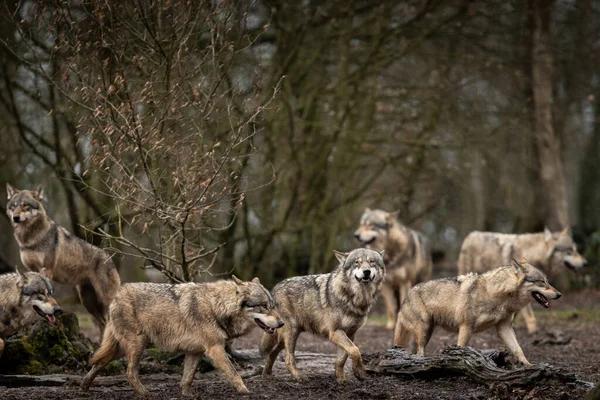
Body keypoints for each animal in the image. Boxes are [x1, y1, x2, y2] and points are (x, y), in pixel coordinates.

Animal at [6, 184, 122, 338]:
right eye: (13, 206)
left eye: (25, 206)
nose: (15, 217)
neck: (30, 239)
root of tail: (110, 258)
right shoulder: (31, 269)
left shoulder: (47, 268)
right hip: (87, 302)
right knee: (102, 323)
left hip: (105, 299)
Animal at [80, 276, 284, 396]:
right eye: (263, 306)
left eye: (273, 305)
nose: (282, 323)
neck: (216, 307)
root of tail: (115, 296)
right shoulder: (215, 349)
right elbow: (234, 373)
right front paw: (245, 391)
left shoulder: (195, 352)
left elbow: (188, 378)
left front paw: (188, 395)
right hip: (137, 345)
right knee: (129, 373)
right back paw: (145, 394)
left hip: (122, 349)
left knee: (97, 363)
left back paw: (84, 388)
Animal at [262, 248, 384, 382]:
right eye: (357, 262)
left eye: (372, 262)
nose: (366, 271)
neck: (355, 299)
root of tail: (274, 289)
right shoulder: (335, 332)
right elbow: (355, 350)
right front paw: (359, 372)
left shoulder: (349, 333)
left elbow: (342, 359)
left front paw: (341, 380)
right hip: (291, 332)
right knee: (288, 359)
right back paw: (299, 377)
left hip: (289, 335)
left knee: (272, 353)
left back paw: (267, 375)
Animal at [394, 260, 564, 366]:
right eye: (542, 282)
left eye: (547, 281)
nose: (559, 294)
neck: (496, 294)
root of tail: (405, 296)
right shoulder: (466, 327)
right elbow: (461, 347)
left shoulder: (504, 328)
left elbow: (518, 349)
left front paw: (528, 365)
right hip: (424, 330)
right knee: (419, 351)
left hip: (426, 332)